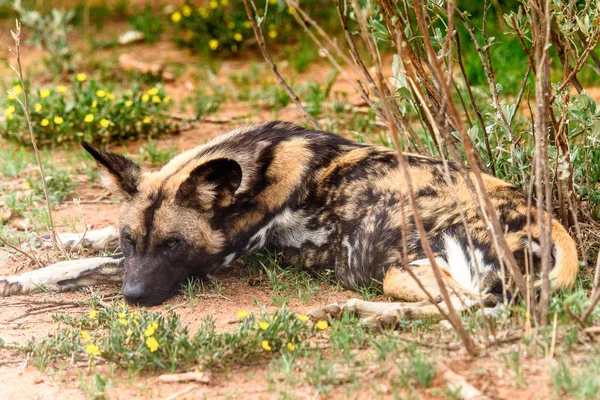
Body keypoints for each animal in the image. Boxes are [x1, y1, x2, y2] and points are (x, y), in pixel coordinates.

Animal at [1, 122, 580, 324]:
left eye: (172, 246)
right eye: (133, 238)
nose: (135, 298)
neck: (254, 166)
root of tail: (553, 225)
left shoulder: (214, 262)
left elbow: (88, 266)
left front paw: (27, 278)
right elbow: (89, 245)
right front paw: (40, 250)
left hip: (408, 269)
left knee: (472, 308)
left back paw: (361, 314)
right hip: (407, 272)